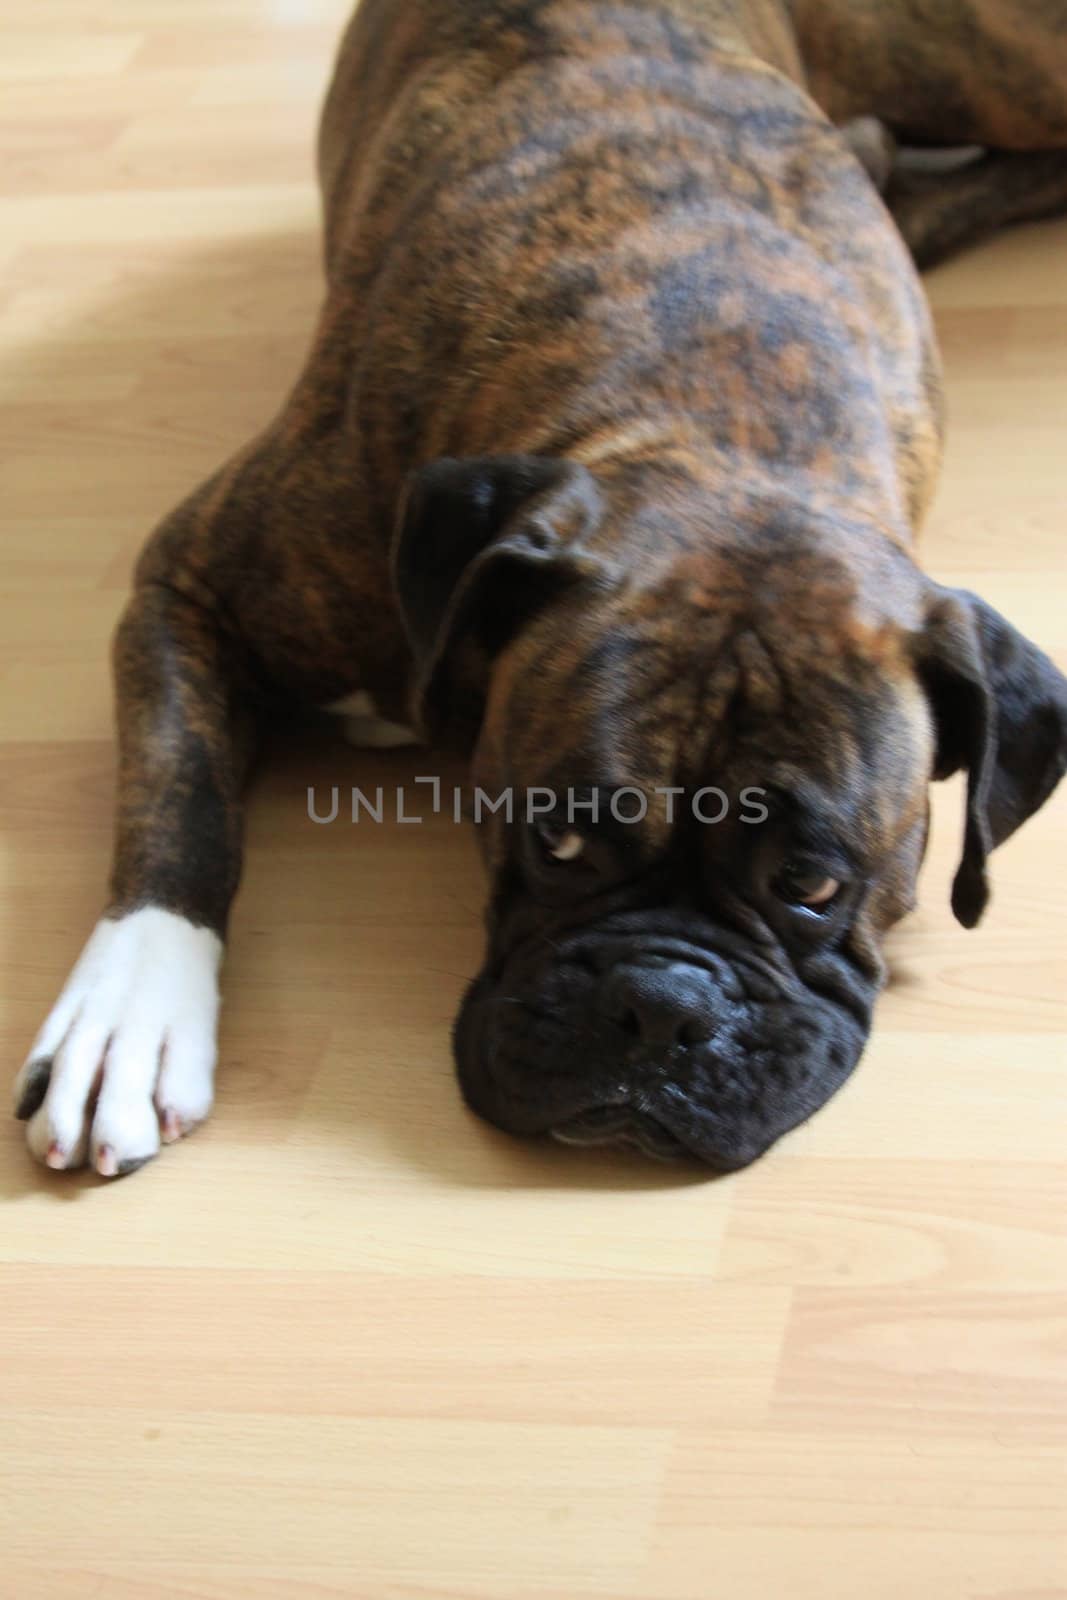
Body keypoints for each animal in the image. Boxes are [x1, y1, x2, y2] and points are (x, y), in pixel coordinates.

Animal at [14, 0, 1067, 1177]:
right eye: (554, 840)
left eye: (812, 886)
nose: (661, 1006)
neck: (708, 411)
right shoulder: (187, 584)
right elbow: (179, 795)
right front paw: (130, 1009)